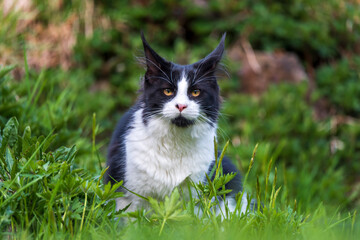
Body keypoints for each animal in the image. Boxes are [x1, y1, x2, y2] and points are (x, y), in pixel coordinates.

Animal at [105, 32, 249, 214]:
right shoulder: (129, 194)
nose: (181, 106)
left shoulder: (196, 192)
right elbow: (131, 218)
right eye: (168, 91)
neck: (175, 142)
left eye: (195, 92)